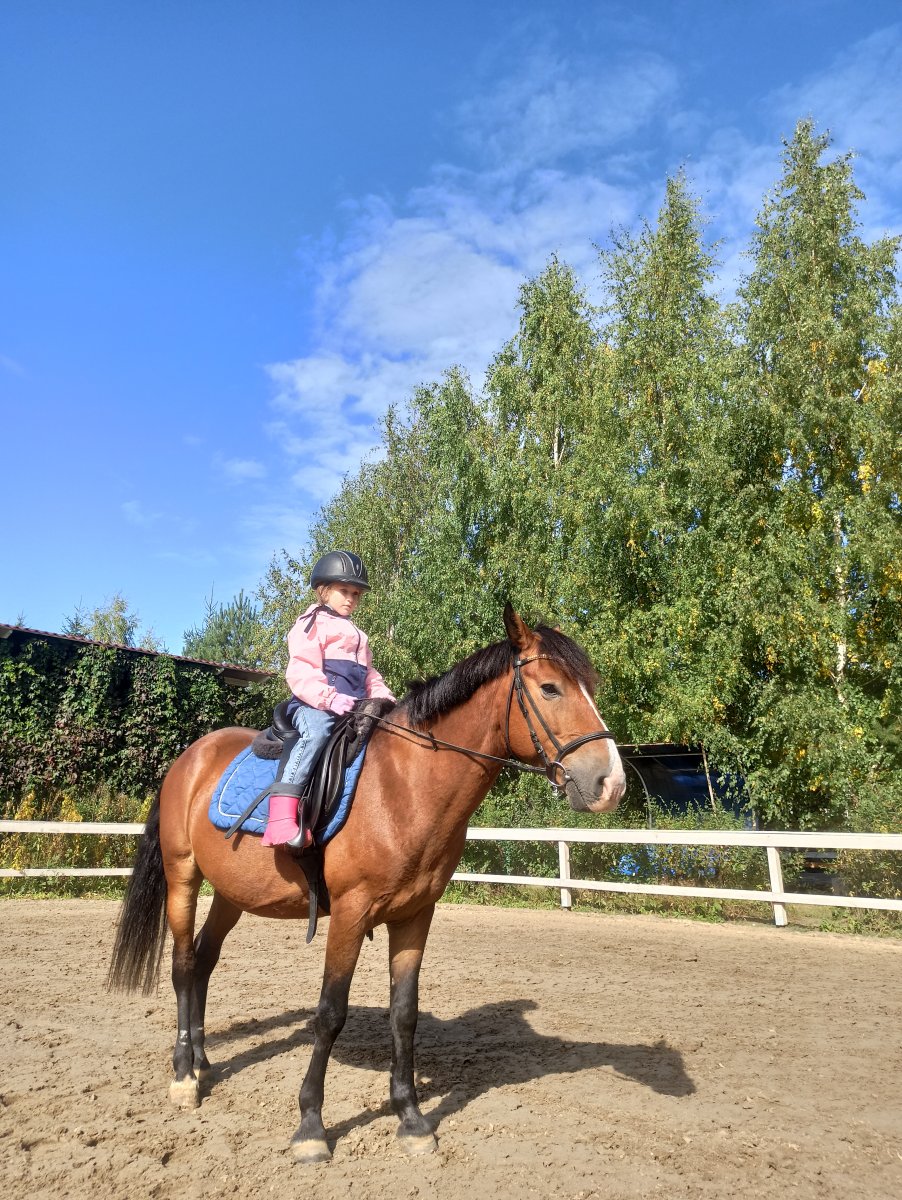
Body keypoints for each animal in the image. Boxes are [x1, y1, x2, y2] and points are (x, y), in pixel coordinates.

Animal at [107, 606, 626, 1163]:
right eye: (550, 688)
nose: (611, 784)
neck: (404, 787)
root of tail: (190, 758)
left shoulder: (416, 914)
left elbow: (404, 1014)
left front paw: (412, 1118)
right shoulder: (350, 914)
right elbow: (330, 1013)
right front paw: (311, 1126)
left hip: (231, 893)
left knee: (203, 961)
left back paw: (203, 1061)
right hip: (183, 875)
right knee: (183, 965)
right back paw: (185, 1075)